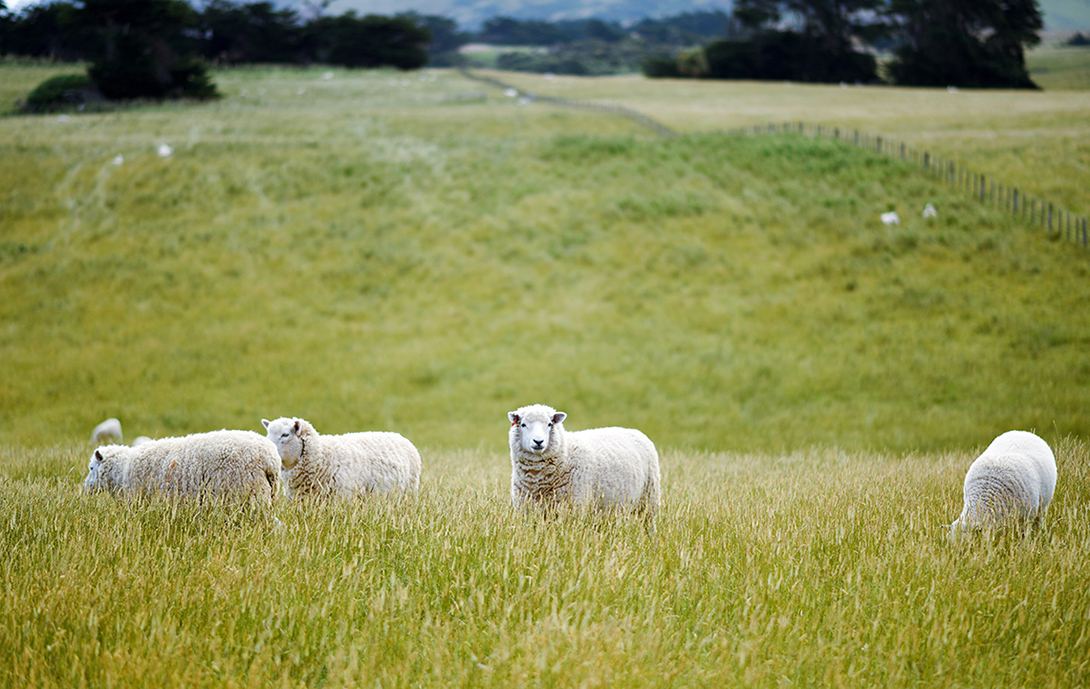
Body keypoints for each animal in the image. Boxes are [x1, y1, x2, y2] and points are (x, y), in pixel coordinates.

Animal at [505, 403, 658, 516]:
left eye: (549, 424)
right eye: (523, 424)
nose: (538, 441)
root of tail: (635, 431)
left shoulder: (575, 507)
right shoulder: (528, 510)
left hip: (649, 498)